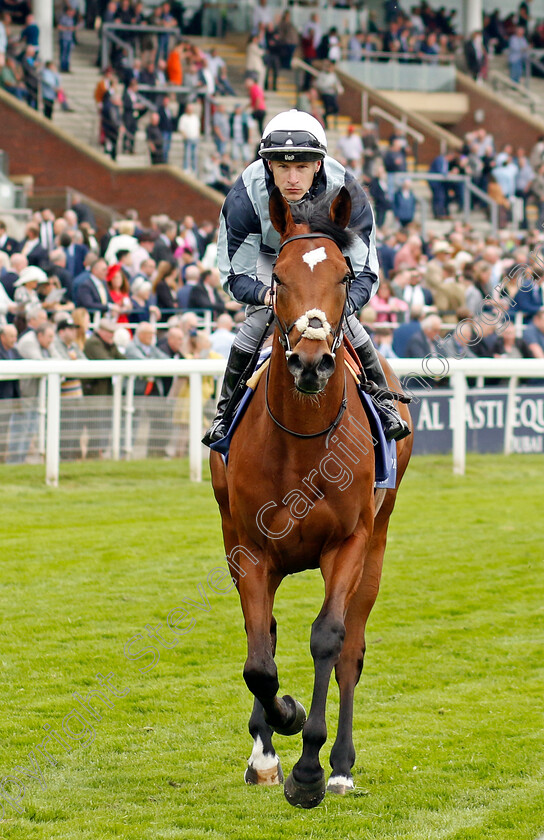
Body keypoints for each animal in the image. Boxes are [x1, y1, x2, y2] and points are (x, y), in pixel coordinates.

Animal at [209, 185, 412, 808]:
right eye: (278, 274)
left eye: (345, 276)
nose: (311, 361)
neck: (301, 443)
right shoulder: (249, 549)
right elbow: (259, 660)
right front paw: (277, 736)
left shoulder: (348, 542)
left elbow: (328, 641)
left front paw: (309, 769)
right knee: (268, 639)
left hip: (377, 545)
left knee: (351, 650)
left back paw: (341, 767)